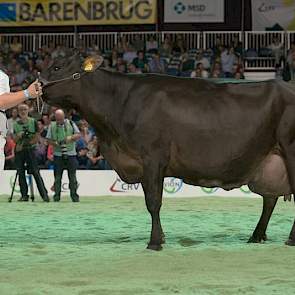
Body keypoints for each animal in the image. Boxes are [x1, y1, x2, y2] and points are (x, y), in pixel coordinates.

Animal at [40, 52, 295, 251]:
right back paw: (256, 236)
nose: (38, 86)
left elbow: (154, 202)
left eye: (57, 67)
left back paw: (289, 239)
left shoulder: (153, 157)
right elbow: (150, 200)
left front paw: (155, 242)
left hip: (290, 150)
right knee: (269, 199)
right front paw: (160, 237)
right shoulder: (141, 164)